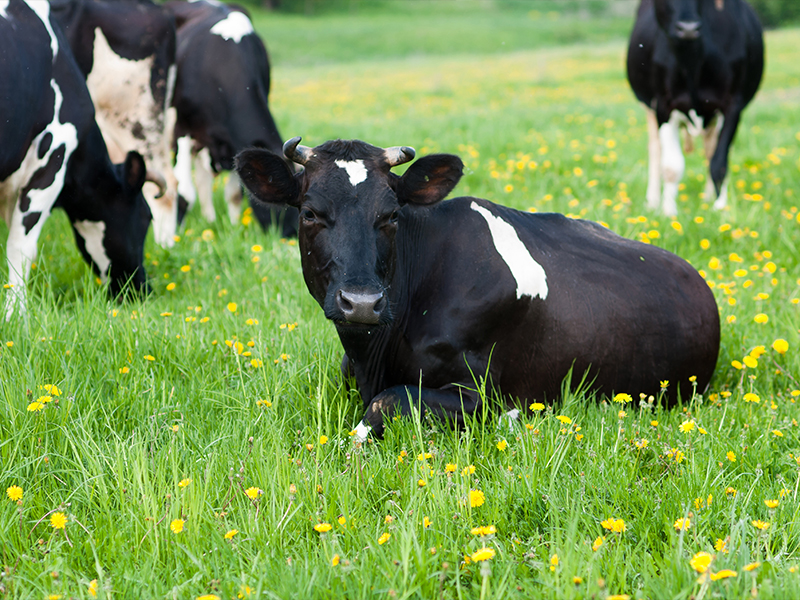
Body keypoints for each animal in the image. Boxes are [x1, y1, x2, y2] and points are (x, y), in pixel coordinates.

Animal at [165, 0, 296, 237]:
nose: (291, 235)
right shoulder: (182, 128)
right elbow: (185, 192)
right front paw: (174, 235)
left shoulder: (236, 144)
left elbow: (234, 194)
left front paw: (235, 229)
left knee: (204, 179)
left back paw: (209, 219)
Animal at [234, 138, 720, 438]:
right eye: (310, 213)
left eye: (391, 214)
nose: (362, 303)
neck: (373, 355)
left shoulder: (480, 392)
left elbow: (385, 405)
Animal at [624, 0, 764, 216]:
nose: (688, 28)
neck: (692, 60)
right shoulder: (663, 105)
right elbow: (671, 166)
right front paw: (668, 211)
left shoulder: (733, 105)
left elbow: (719, 161)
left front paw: (720, 206)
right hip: (649, 106)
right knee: (655, 149)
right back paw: (652, 202)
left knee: (709, 149)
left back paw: (707, 198)